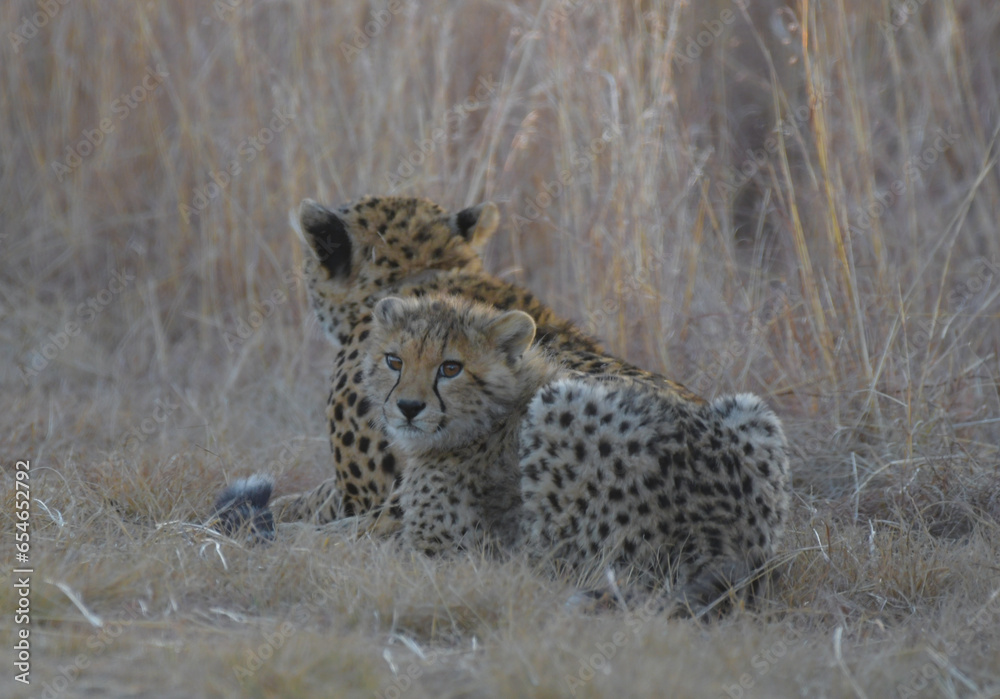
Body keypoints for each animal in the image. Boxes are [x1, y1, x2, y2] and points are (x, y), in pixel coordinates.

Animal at [355, 294, 791, 612]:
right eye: (394, 360)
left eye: (450, 368)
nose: (408, 407)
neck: (493, 412)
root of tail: (717, 536)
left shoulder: (438, 551)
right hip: (751, 413)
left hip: (557, 407)